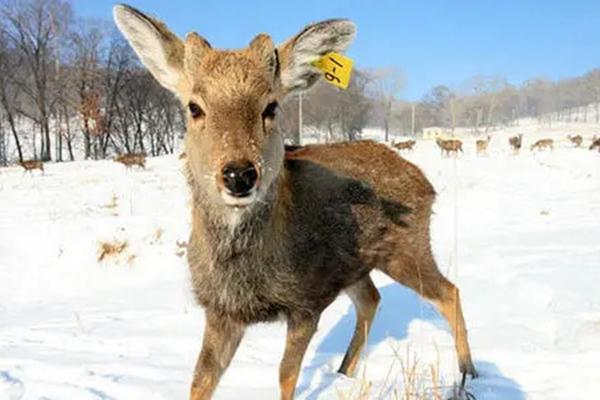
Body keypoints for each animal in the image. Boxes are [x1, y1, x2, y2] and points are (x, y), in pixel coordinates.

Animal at [113, 4, 478, 398]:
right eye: (194, 107)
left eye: (270, 106)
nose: (239, 174)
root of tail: (424, 181)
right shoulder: (220, 310)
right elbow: (200, 379)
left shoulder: (308, 299)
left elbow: (286, 374)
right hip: (354, 265)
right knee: (372, 299)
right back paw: (344, 372)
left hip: (407, 247)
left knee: (449, 291)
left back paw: (468, 373)